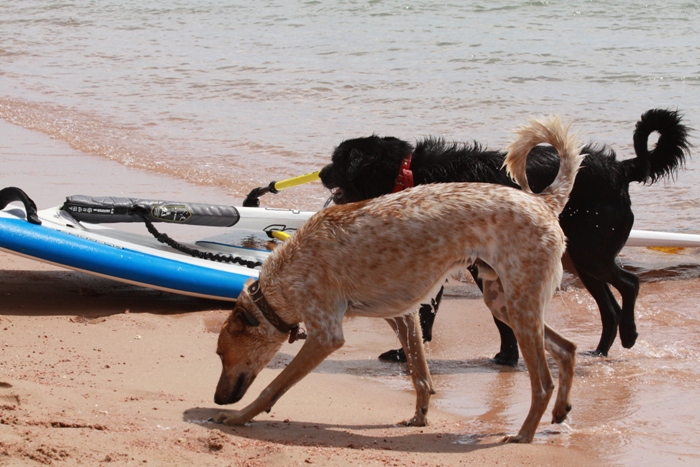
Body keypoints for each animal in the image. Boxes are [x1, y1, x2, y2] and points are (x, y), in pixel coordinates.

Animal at [215, 115, 584, 444]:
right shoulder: (402, 316)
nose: (217, 398)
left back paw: (524, 434)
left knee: (543, 382)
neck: (284, 277)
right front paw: (419, 417)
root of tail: (542, 200)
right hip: (504, 303)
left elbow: (273, 386)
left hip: (520, 307)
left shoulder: (326, 335)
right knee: (567, 348)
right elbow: (420, 375)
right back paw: (560, 411)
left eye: (220, 354)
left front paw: (238, 417)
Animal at [320, 109, 692, 366]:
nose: (321, 172)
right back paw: (600, 350)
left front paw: (506, 356)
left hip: (591, 253)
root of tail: (620, 169)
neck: (409, 174)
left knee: (630, 284)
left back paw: (629, 335)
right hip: (580, 259)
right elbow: (430, 310)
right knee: (609, 307)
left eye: (338, 161)